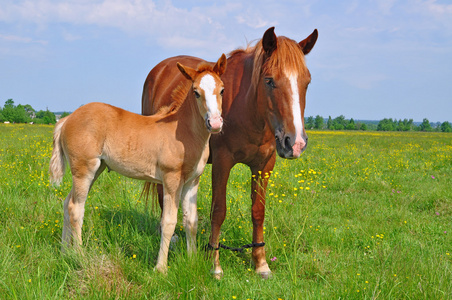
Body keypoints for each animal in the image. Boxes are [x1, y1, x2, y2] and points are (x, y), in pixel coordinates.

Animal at [50, 53, 226, 272]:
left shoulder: (192, 182)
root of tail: (67, 119)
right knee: (76, 208)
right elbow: (169, 222)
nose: (215, 123)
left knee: (67, 203)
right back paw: (80, 256)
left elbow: (191, 221)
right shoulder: (171, 180)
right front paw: (161, 269)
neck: (185, 133)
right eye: (196, 93)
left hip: (96, 169)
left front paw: (192, 261)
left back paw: (65, 253)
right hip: (84, 170)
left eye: (222, 89)